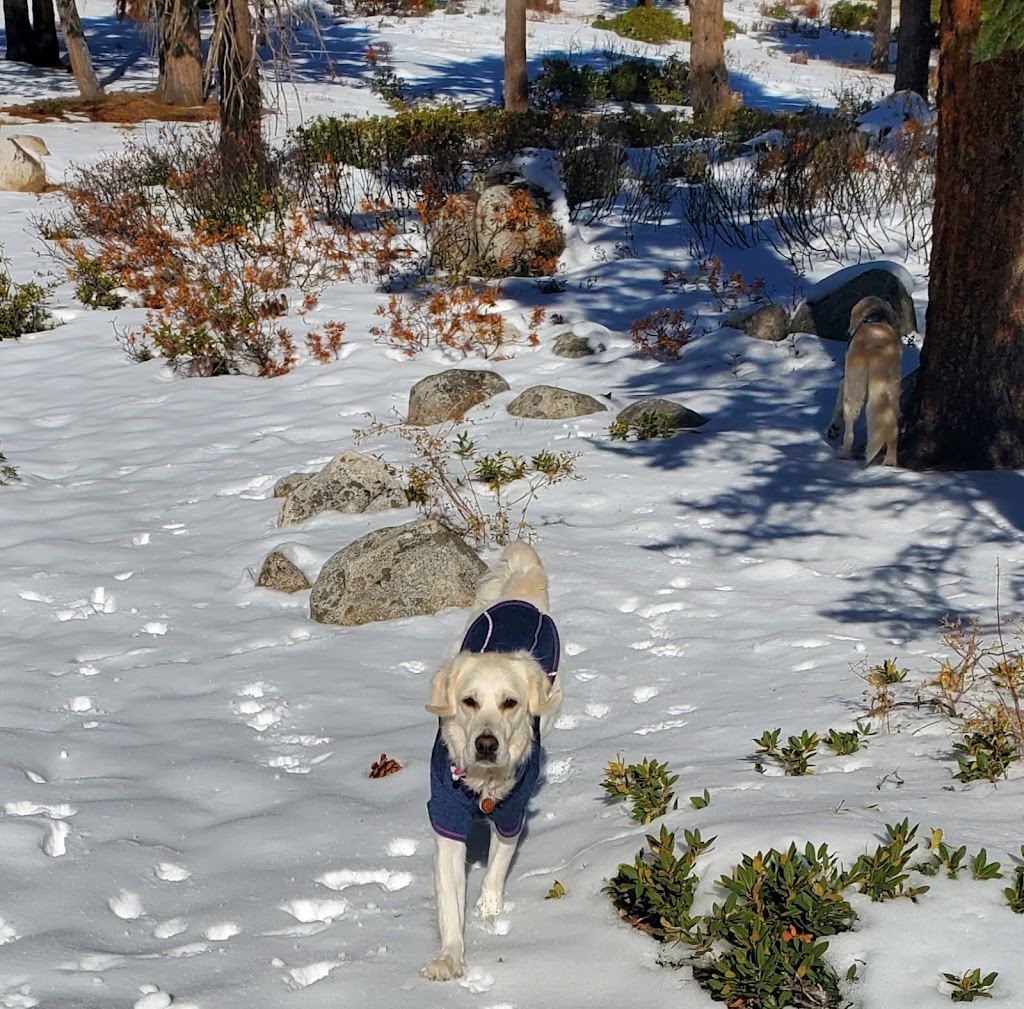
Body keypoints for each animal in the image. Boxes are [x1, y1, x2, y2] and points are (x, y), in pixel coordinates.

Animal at [423, 544, 569, 975]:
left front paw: (488, 908)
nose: (486, 744)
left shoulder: (510, 813)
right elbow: (450, 900)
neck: (483, 784)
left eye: (510, 703)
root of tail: (519, 598)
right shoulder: (447, 814)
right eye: (469, 701)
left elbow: (498, 864)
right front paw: (449, 958)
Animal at [827, 290, 901, 465]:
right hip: (889, 390)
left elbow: (837, 407)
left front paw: (834, 427)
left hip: (855, 386)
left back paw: (844, 452)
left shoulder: (844, 380)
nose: (847, 331)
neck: (876, 317)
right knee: (892, 427)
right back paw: (889, 460)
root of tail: (874, 344)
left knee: (849, 428)